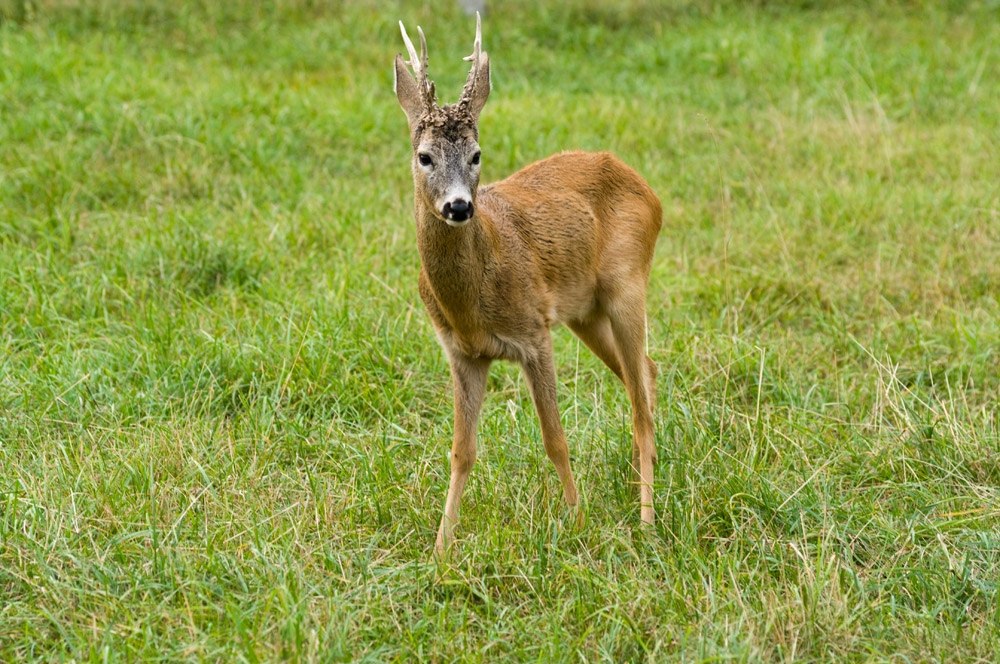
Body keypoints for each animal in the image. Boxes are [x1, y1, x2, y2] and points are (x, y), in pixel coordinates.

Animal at [392, 15, 664, 556]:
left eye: (477, 154)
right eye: (425, 156)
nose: (459, 206)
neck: (471, 302)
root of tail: (650, 191)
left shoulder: (535, 336)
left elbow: (554, 438)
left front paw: (578, 521)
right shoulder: (463, 353)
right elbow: (462, 450)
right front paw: (441, 548)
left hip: (627, 284)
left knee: (640, 402)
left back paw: (646, 521)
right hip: (585, 313)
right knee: (644, 373)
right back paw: (641, 482)